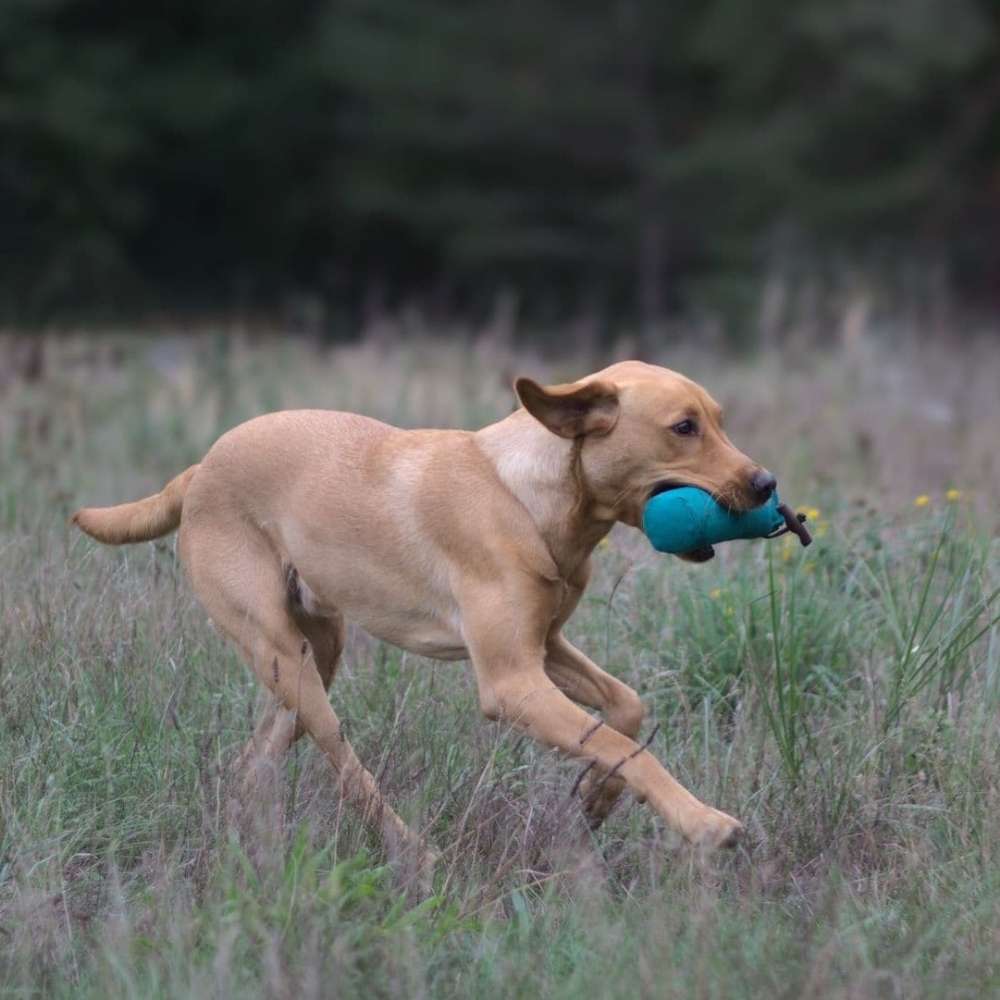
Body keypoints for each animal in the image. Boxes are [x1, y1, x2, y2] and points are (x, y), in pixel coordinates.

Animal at [74, 364, 776, 864]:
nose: (766, 484)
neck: (531, 494)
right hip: (285, 656)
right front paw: (704, 823)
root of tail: (197, 472)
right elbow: (622, 743)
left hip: (314, 655)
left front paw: (595, 801)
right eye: (683, 427)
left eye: (718, 420)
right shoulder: (510, 682)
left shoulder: (544, 648)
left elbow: (626, 713)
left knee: (253, 765)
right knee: (345, 767)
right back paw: (412, 850)